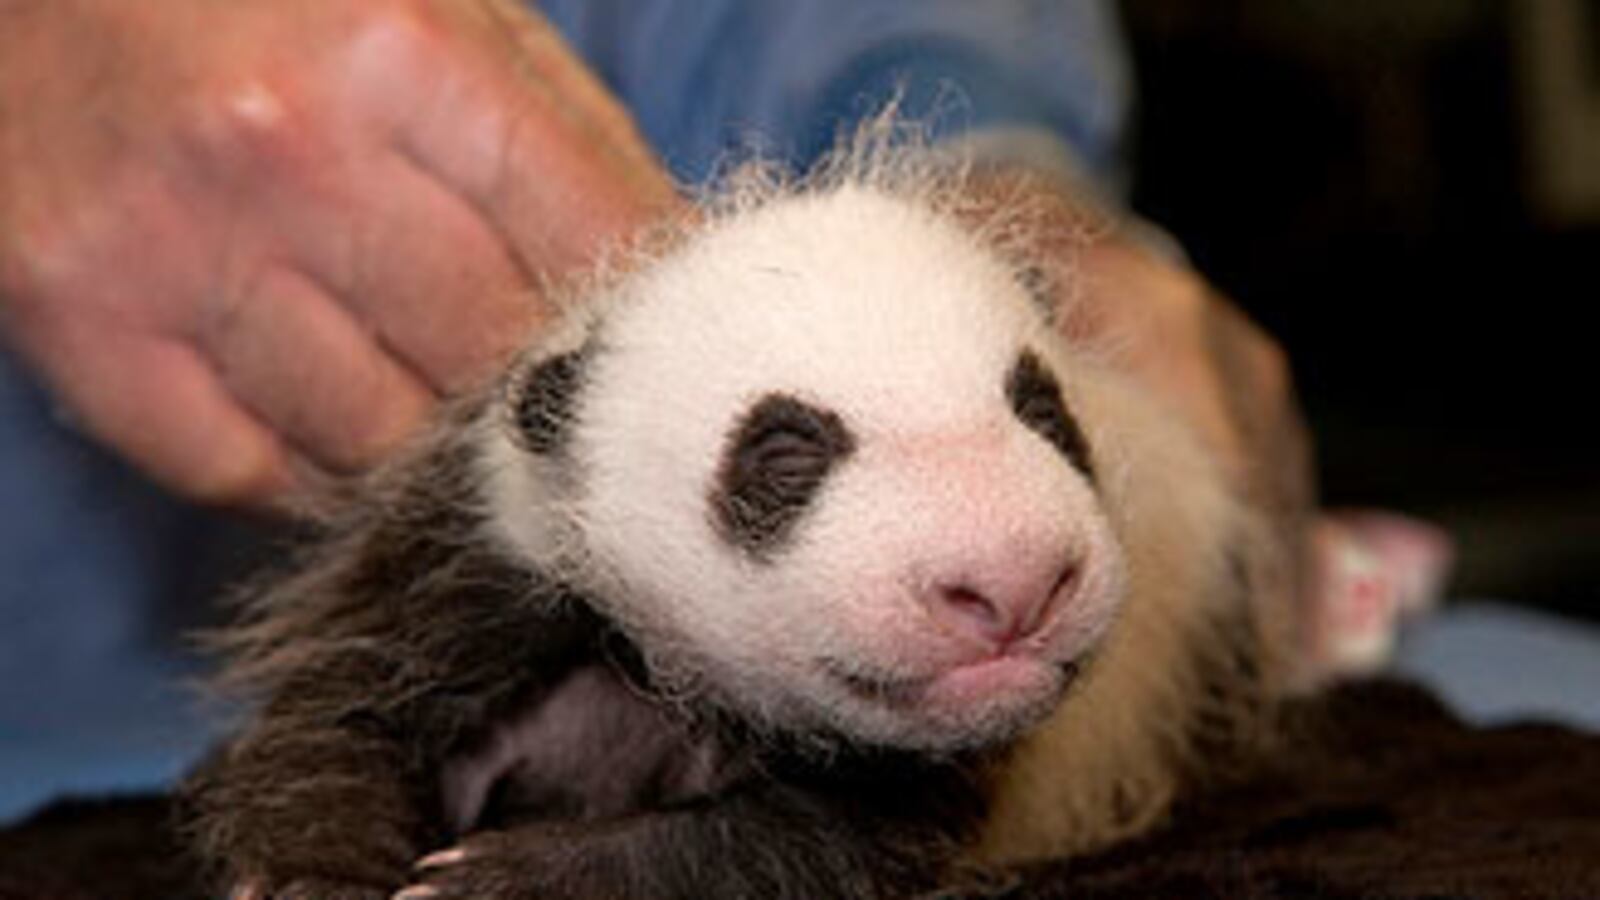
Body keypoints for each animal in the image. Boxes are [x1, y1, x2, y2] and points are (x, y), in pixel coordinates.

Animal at [188, 137, 1289, 900]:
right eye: (787, 453)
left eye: (1042, 412)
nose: (1012, 581)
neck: (665, 676)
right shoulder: (487, 554)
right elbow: (345, 707)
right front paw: (315, 870)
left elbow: (801, 848)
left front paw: (505, 879)